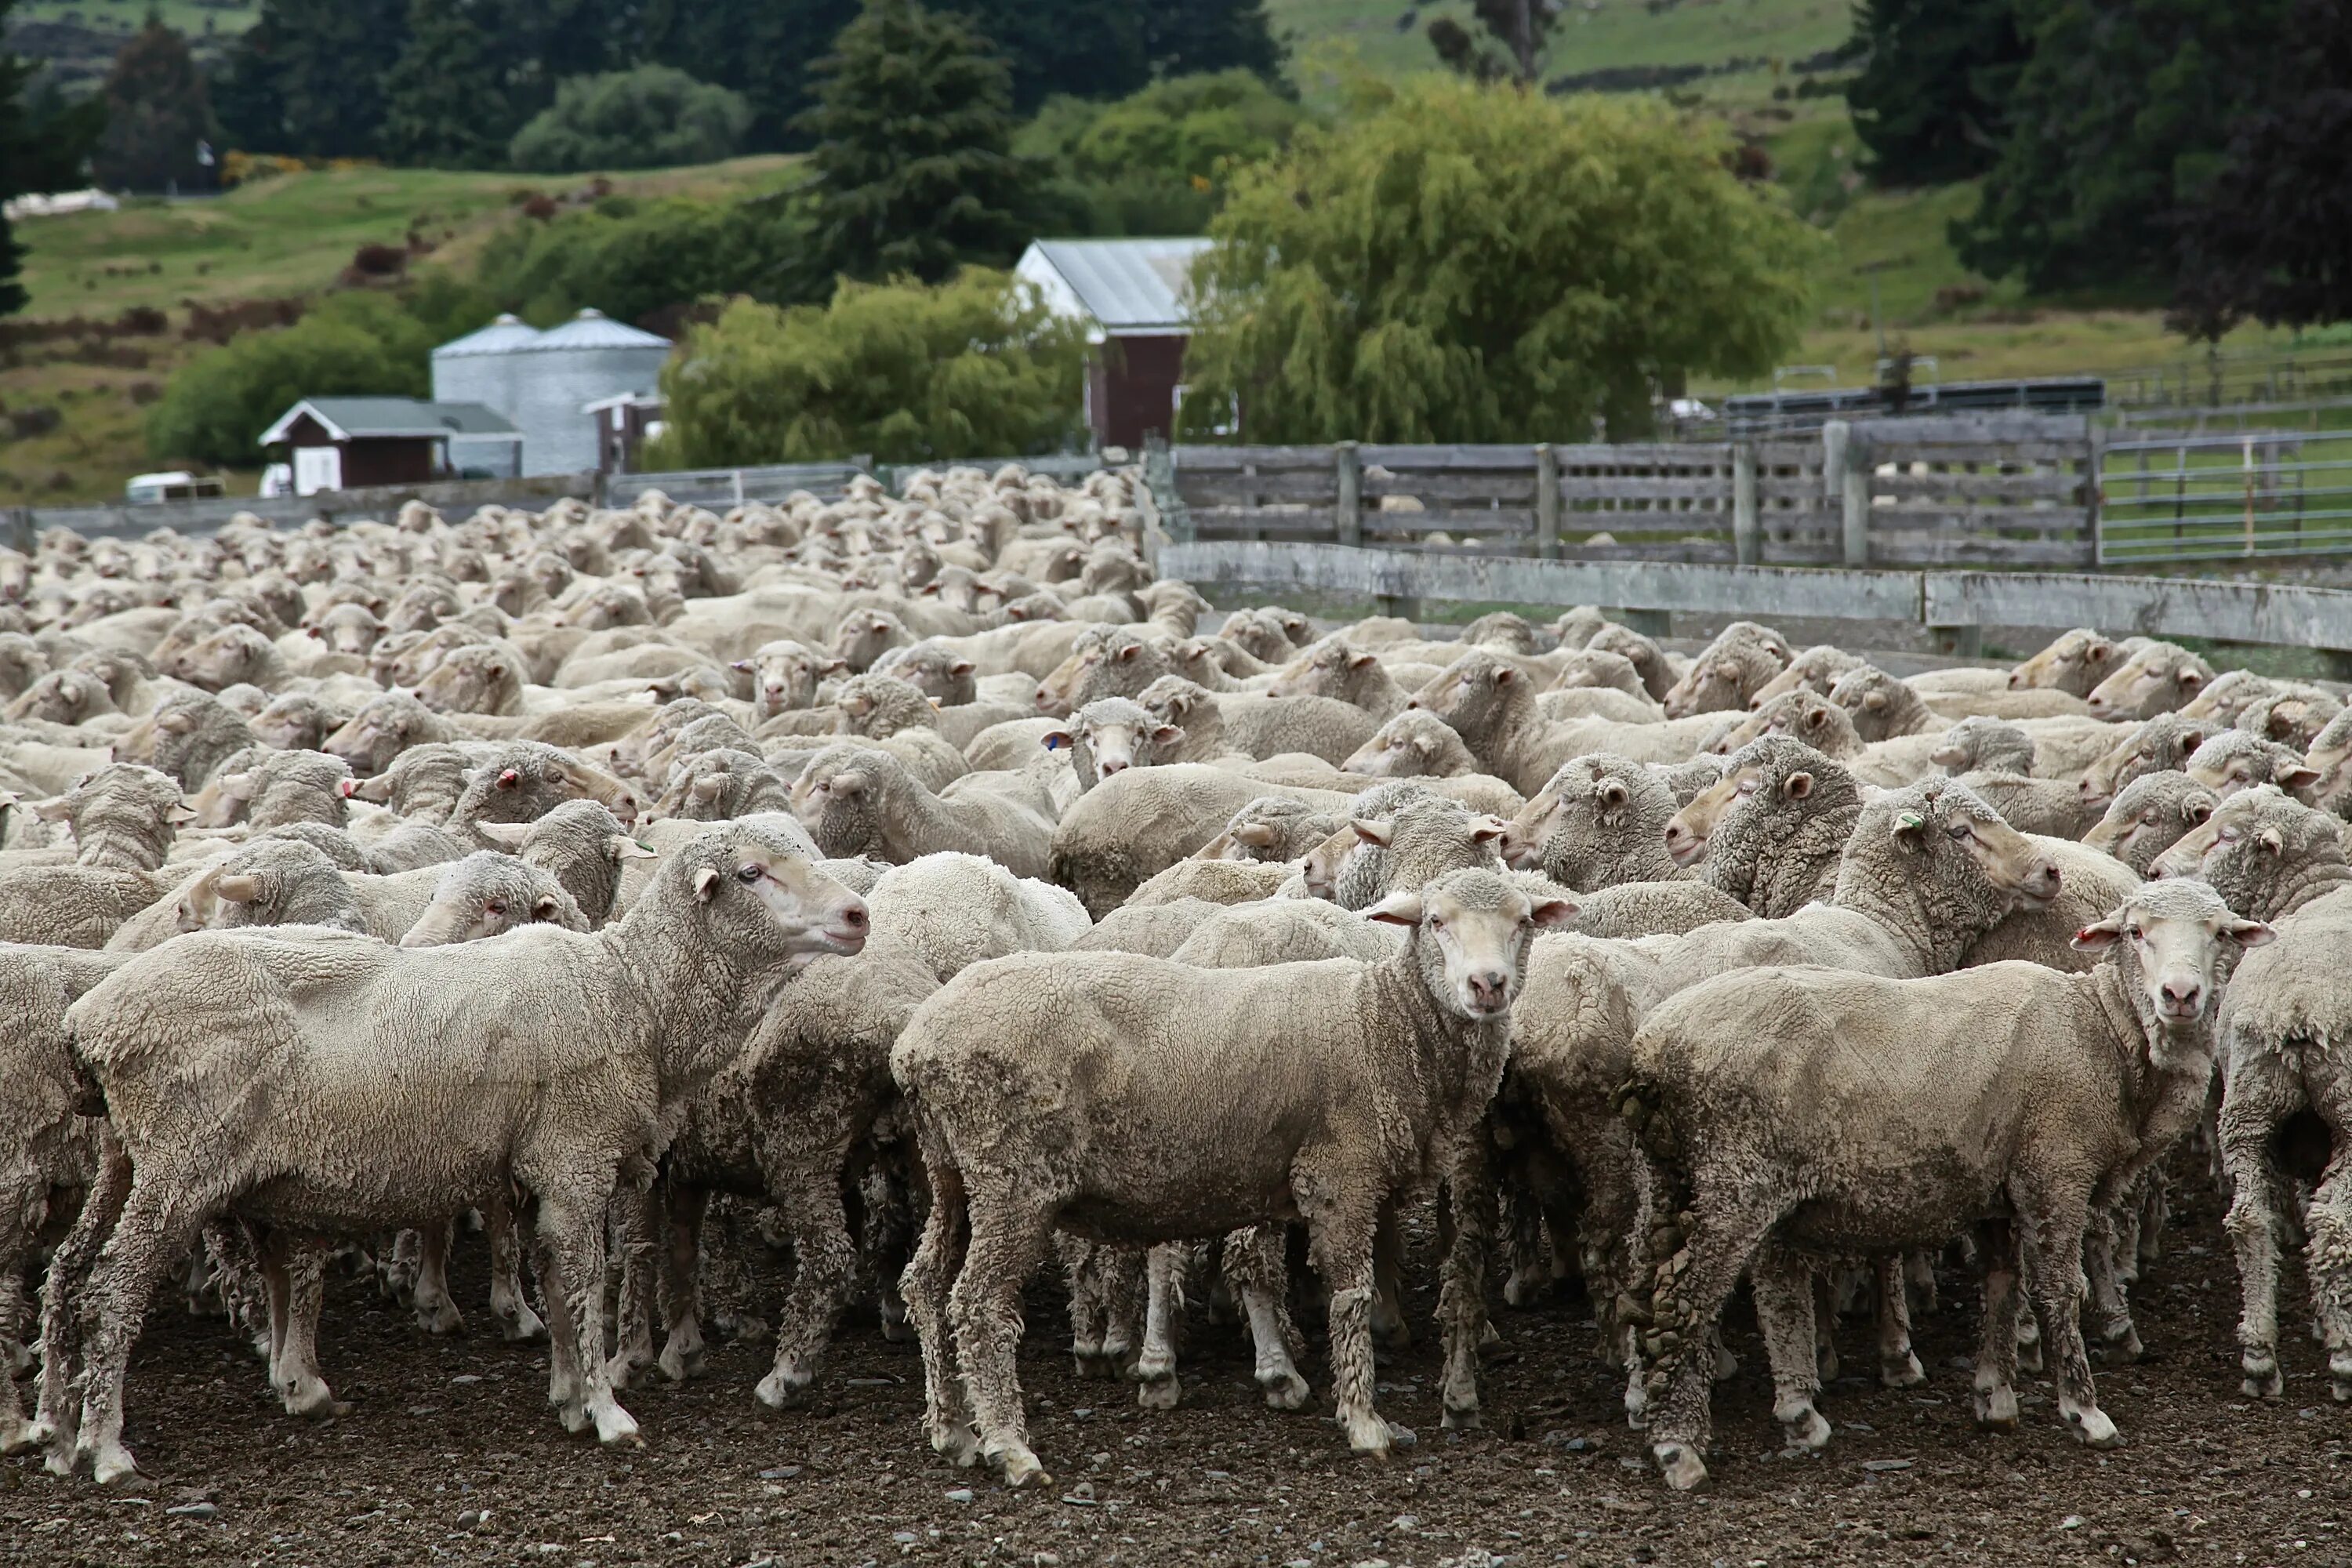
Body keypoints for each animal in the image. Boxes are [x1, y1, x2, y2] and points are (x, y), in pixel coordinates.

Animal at [43, 822, 875, 1486]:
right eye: (752, 873)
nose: (859, 913)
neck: (631, 994)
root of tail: (89, 1020)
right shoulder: (574, 1156)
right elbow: (583, 1285)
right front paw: (609, 1411)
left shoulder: (541, 1168)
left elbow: (555, 1279)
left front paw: (570, 1399)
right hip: (180, 1163)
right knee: (112, 1290)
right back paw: (106, 1448)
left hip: (127, 1155)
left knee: (72, 1268)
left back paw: (58, 1432)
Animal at [898, 869, 1581, 1486]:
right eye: (1436, 921)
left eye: (1524, 922)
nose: (1488, 985)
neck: (1384, 1023)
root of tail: (916, 1044)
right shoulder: (1341, 1172)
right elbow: (1350, 1296)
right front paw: (1363, 1420)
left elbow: (1267, 1272)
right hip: (1013, 1177)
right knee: (978, 1303)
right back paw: (1009, 1446)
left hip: (954, 1172)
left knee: (924, 1283)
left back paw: (951, 1432)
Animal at [1628, 879, 2267, 1495]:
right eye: (2136, 932)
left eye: (2219, 933)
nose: (2180, 996)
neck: (2102, 1031)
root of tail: (1653, 1045)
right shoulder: (2054, 1171)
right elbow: (2060, 1291)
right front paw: (2083, 1411)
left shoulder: (2002, 1190)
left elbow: (2003, 1285)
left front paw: (1995, 1398)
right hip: (1736, 1180)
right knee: (1689, 1303)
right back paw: (1678, 1448)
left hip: (1678, 1181)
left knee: (1708, 1291)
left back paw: (1793, 1419)